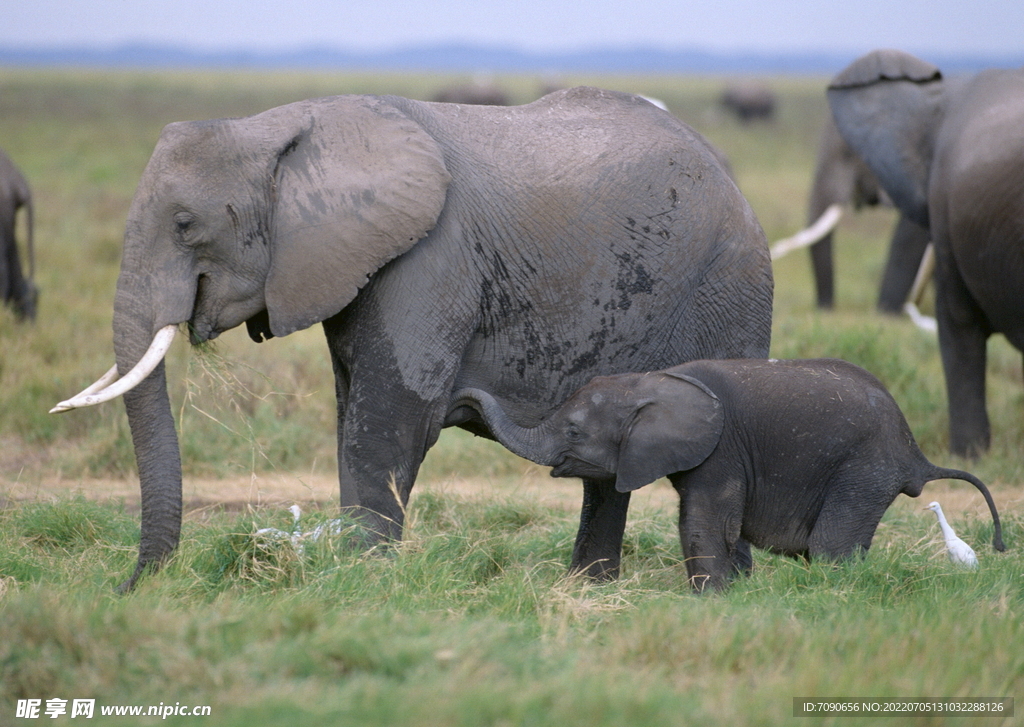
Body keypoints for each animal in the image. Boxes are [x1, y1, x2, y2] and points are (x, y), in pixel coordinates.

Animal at [51, 88, 770, 593]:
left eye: (184, 224)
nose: (124, 588)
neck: (277, 127)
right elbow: (351, 417)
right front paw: (355, 573)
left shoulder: (431, 259)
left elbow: (390, 420)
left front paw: (362, 583)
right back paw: (589, 589)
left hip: (729, 284)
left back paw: (728, 590)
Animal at [452, 358, 1003, 593]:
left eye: (572, 429)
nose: (460, 396)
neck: (651, 382)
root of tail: (915, 453)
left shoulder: (721, 450)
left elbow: (704, 521)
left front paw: (710, 600)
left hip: (864, 469)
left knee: (831, 545)